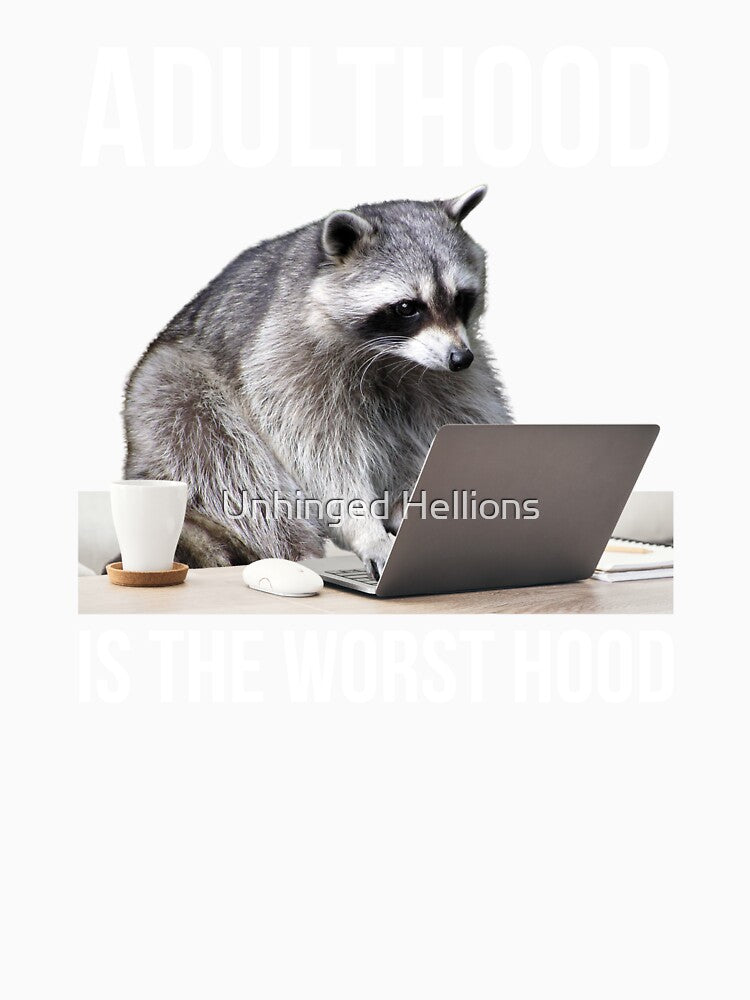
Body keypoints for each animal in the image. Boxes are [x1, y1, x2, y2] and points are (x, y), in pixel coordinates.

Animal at [123, 185, 512, 577]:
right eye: (407, 307)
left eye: (462, 298)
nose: (460, 358)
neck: (392, 356)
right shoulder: (286, 357)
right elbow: (318, 450)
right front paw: (365, 529)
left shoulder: (446, 375)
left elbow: (462, 415)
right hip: (173, 396)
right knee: (226, 459)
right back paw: (297, 550)